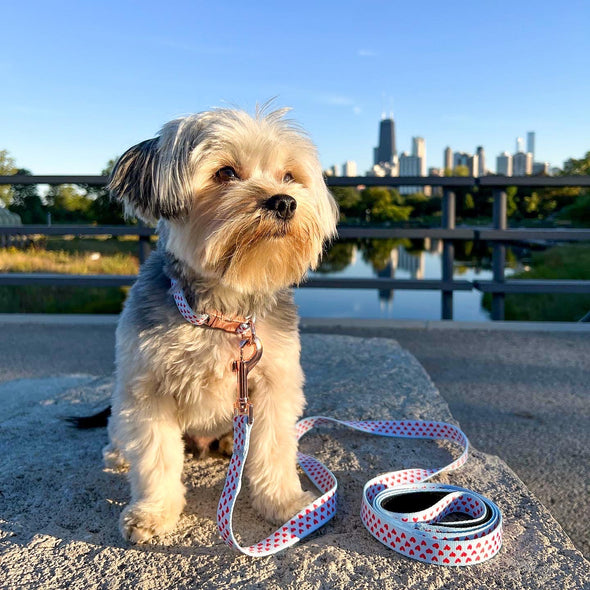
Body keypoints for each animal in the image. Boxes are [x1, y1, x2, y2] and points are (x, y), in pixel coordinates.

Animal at [104, 107, 340, 544]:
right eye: (226, 172)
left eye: (289, 175)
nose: (285, 202)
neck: (223, 313)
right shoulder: (147, 389)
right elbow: (155, 456)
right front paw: (153, 512)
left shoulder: (273, 385)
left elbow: (274, 449)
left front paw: (283, 503)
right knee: (119, 428)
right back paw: (117, 453)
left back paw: (233, 445)